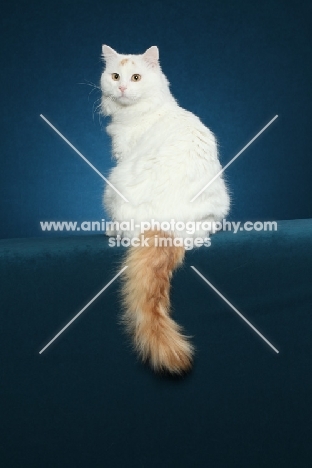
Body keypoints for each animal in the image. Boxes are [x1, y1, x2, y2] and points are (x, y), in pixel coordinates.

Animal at [100, 45, 229, 374]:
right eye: (115, 76)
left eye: (135, 77)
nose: (122, 88)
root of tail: (167, 227)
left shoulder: (123, 154)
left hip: (114, 184)